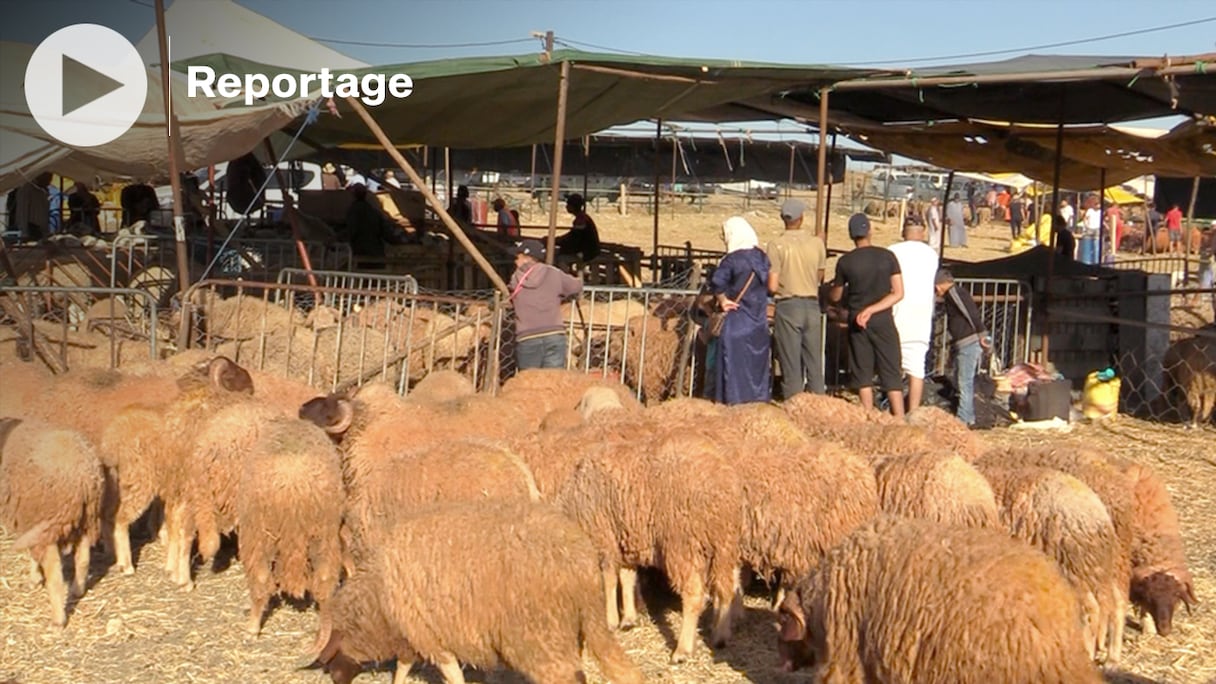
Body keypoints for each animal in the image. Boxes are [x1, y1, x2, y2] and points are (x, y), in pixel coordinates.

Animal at [0, 416, 103, 623]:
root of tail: (81, 477)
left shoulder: (31, 520)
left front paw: (34, 578)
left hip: (48, 519)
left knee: (55, 573)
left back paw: (58, 619)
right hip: (87, 519)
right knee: (83, 559)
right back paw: (77, 590)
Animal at [235, 408, 342, 632]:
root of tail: (293, 481)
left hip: (257, 532)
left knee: (260, 578)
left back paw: (252, 627)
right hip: (324, 532)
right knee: (324, 581)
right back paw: (325, 629)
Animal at [304, 499, 646, 681]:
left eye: (339, 637)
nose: (334, 677)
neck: (377, 599)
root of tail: (579, 561)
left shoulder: (428, 635)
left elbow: (450, 673)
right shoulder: (416, 634)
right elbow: (403, 667)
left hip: (538, 635)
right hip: (574, 628)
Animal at [556, 428, 744, 657]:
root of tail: (722, 483)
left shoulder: (604, 540)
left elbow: (608, 581)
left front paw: (610, 620)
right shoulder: (625, 541)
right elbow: (626, 578)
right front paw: (628, 618)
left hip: (682, 545)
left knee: (694, 594)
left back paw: (683, 649)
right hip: (725, 544)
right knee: (729, 586)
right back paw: (720, 633)